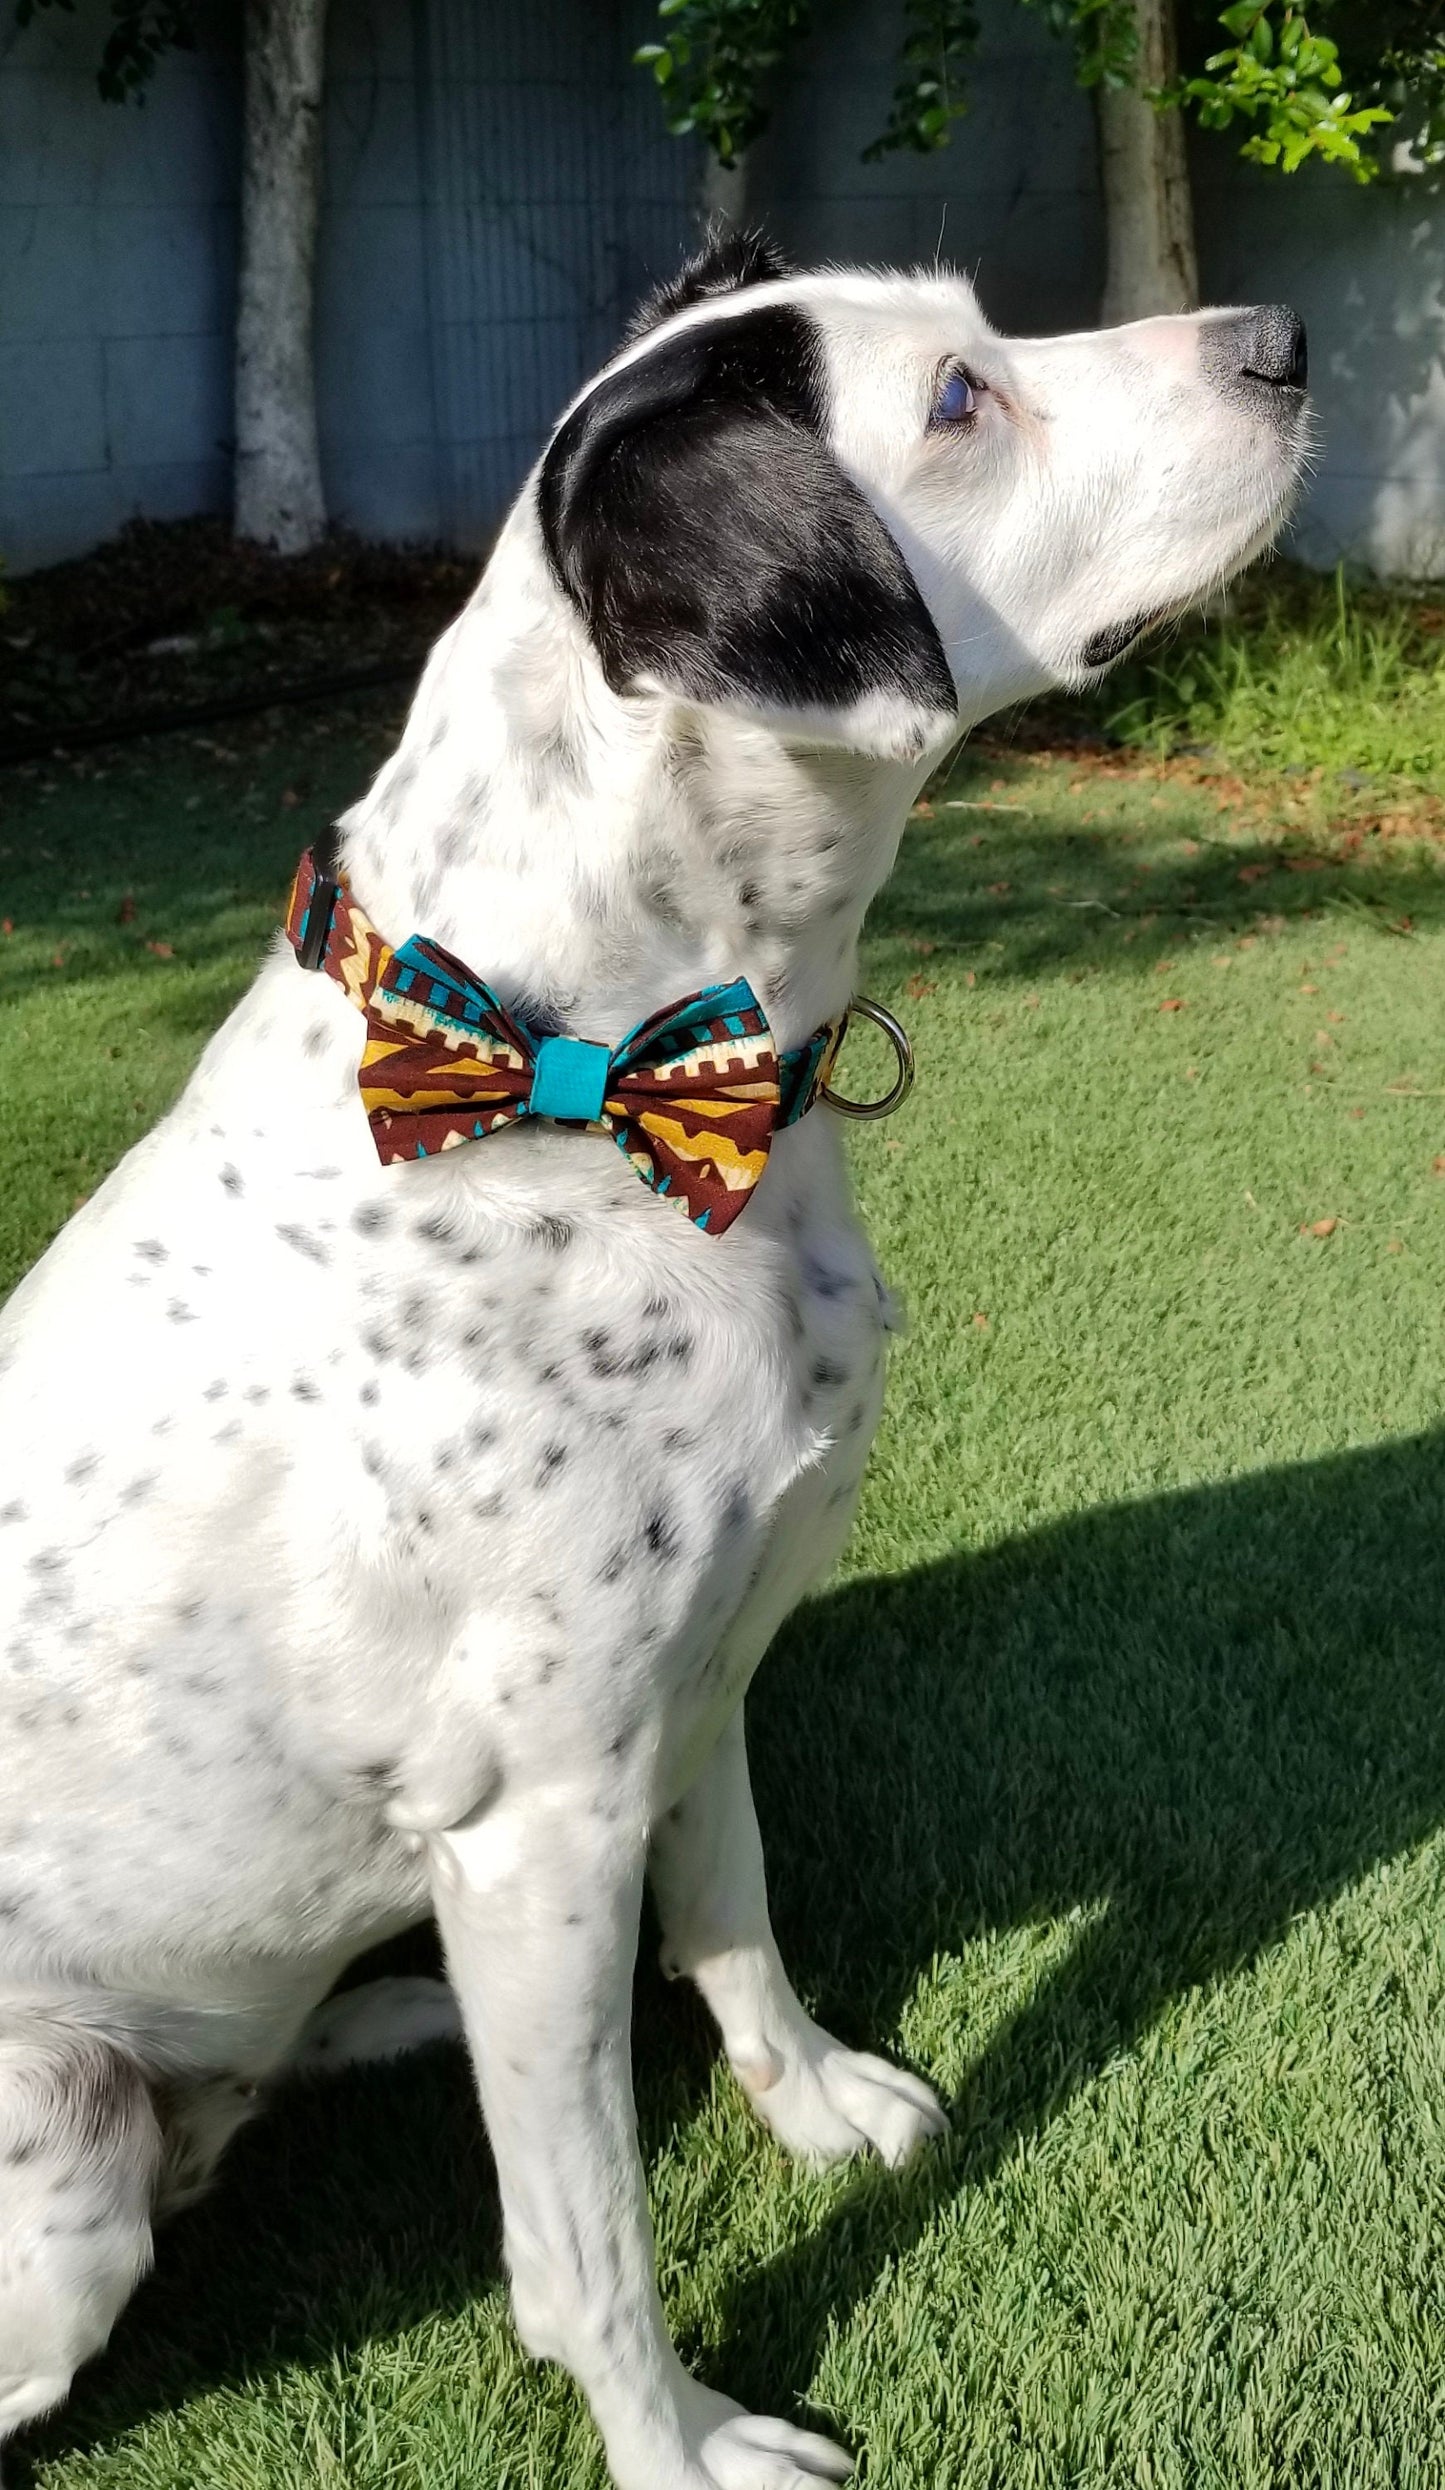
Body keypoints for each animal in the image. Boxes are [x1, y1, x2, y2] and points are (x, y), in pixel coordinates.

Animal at [0, 237, 1305, 2490]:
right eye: (956, 403)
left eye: (981, 330)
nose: (1294, 342)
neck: (588, 1065)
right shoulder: (543, 1815)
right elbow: (587, 2237)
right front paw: (679, 2444)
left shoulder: (698, 1690)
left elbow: (737, 1919)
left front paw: (813, 2101)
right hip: (59, 2150)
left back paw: (379, 2011)